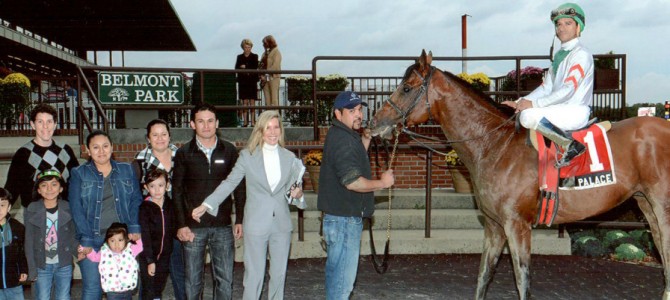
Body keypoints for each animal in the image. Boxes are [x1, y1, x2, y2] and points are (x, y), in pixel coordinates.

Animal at [372, 50, 670, 298]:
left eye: (406, 88)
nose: (375, 122)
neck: (494, 145)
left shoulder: (517, 226)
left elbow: (522, 280)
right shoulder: (493, 227)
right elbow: (483, 275)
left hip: (662, 207)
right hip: (646, 205)